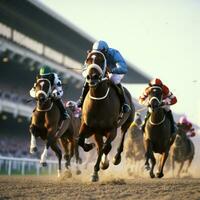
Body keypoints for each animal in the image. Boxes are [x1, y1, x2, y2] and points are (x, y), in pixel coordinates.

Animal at [77, 50, 134, 182]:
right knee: (102, 146)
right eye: (88, 60)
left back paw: (116, 158)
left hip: (127, 122)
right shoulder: (89, 127)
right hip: (98, 132)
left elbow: (105, 147)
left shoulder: (112, 129)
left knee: (121, 138)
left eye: (101, 60)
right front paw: (89, 146)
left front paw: (95, 172)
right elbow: (80, 141)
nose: (92, 77)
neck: (98, 102)